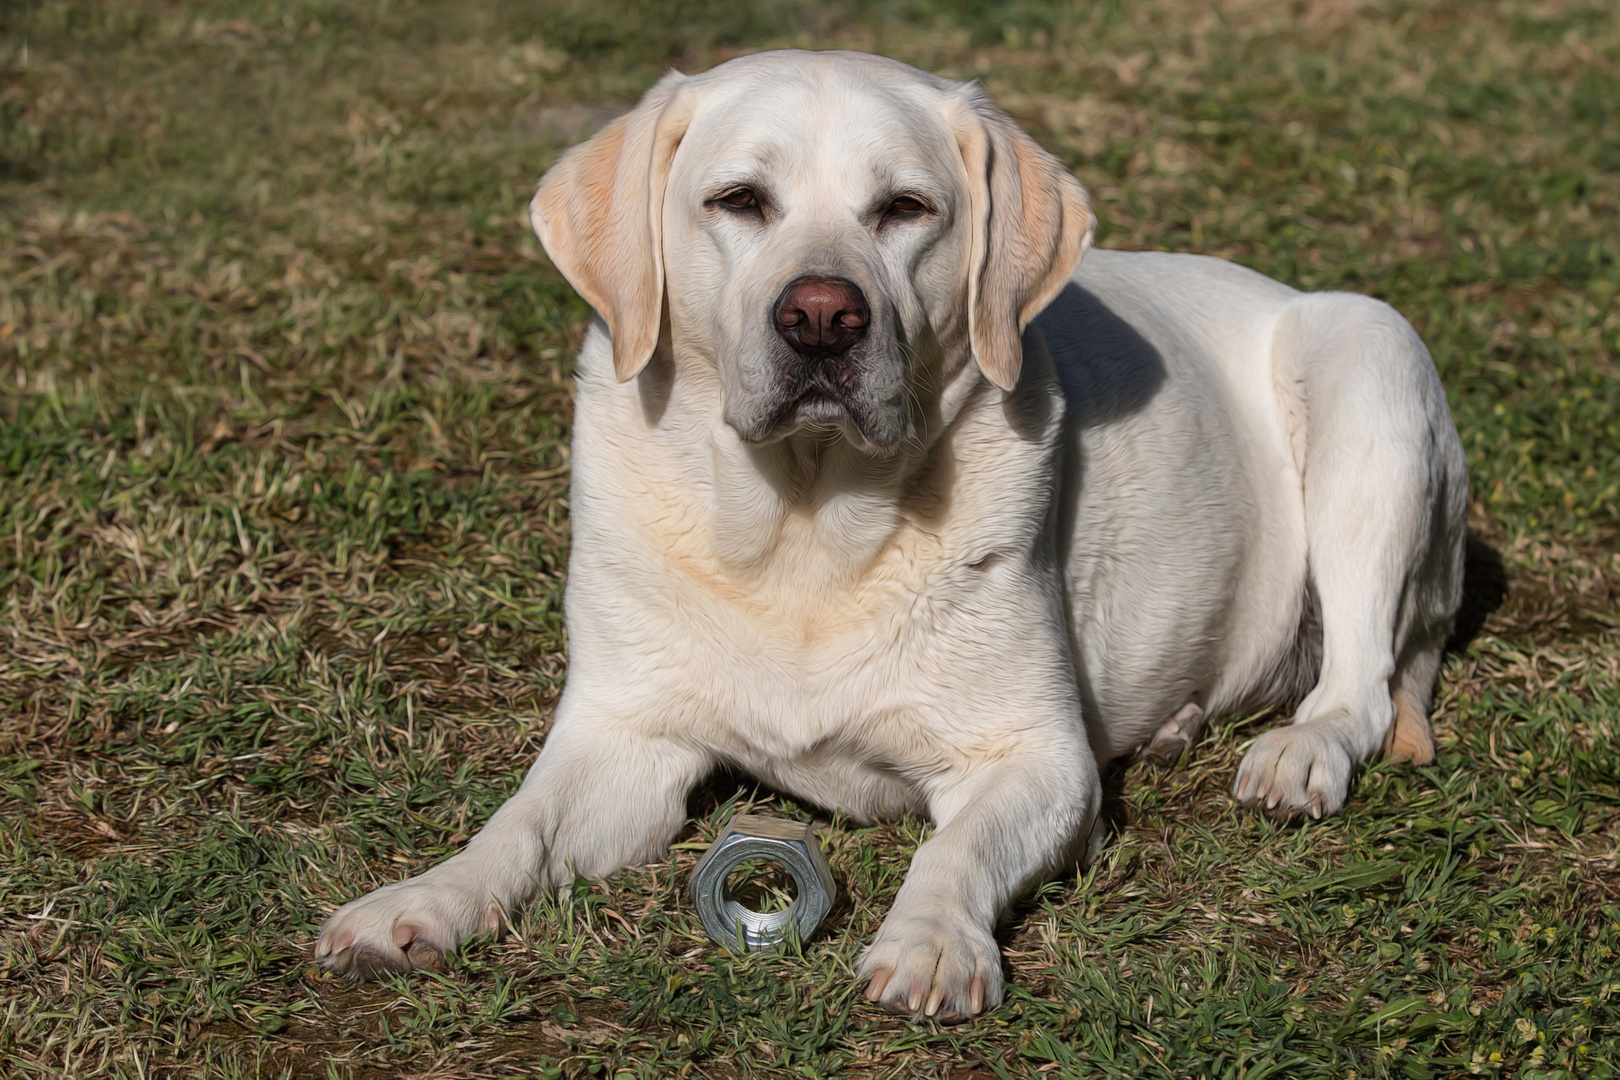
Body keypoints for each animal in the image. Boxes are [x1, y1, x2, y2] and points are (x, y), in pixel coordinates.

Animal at [312, 48, 1470, 1023]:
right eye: (740, 200)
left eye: (905, 209)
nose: (822, 316)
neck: (804, 530)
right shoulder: (622, 737)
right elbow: (517, 824)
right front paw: (421, 899)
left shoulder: (1034, 756)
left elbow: (953, 852)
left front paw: (932, 945)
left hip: (1366, 360)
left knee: (1363, 683)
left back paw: (1299, 751)